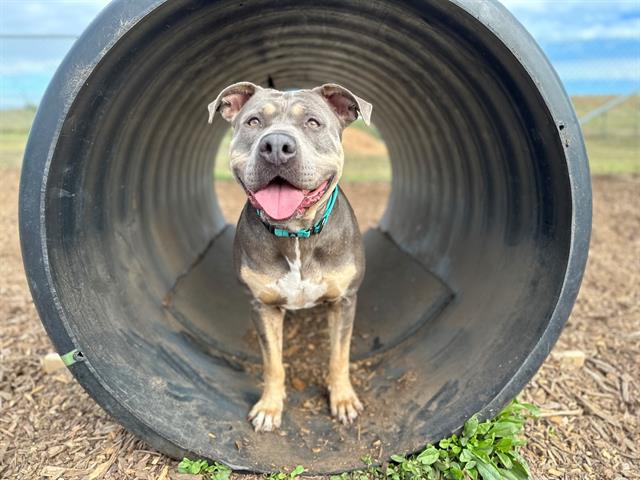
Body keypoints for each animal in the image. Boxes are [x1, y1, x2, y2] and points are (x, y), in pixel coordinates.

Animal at [208, 80, 372, 434]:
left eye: (313, 122)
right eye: (254, 121)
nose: (276, 145)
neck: (296, 236)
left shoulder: (345, 300)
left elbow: (339, 356)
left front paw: (343, 399)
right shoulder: (263, 306)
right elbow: (273, 362)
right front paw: (270, 407)